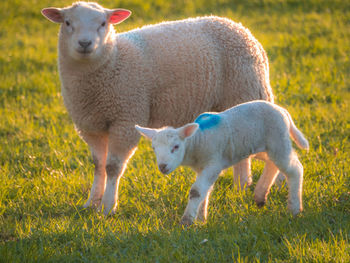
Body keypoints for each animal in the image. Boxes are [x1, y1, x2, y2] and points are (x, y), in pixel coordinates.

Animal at [41, 1, 274, 217]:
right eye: (67, 22)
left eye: (103, 23)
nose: (85, 43)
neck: (112, 61)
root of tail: (240, 27)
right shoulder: (90, 126)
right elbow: (98, 165)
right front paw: (91, 203)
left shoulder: (126, 118)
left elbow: (112, 167)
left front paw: (107, 208)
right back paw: (240, 189)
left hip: (246, 92)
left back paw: (252, 190)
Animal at [135, 101, 308, 227]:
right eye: (154, 148)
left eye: (176, 147)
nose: (162, 167)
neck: (198, 140)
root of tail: (282, 110)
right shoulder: (202, 168)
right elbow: (204, 191)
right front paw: (201, 219)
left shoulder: (213, 164)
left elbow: (196, 191)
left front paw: (187, 221)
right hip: (263, 147)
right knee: (273, 163)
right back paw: (260, 195)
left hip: (278, 140)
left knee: (295, 169)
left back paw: (294, 208)